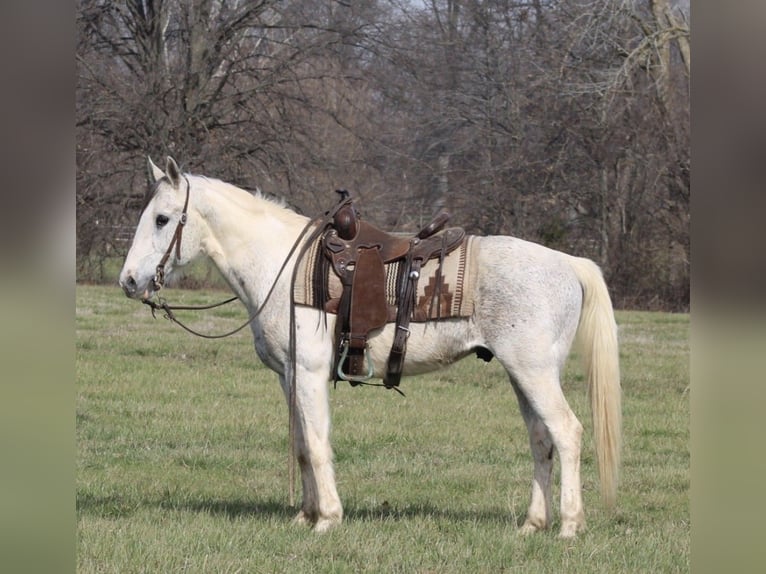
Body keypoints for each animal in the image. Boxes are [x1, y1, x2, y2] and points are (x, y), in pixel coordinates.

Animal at [118, 156, 621, 538]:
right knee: (541, 440)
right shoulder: (288, 376)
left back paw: (569, 526)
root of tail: (568, 263)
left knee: (567, 432)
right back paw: (533, 524)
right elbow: (301, 444)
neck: (282, 267)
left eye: (162, 219)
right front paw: (306, 515)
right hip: (524, 374)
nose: (129, 281)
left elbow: (317, 442)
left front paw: (327, 519)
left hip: (533, 372)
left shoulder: (309, 372)